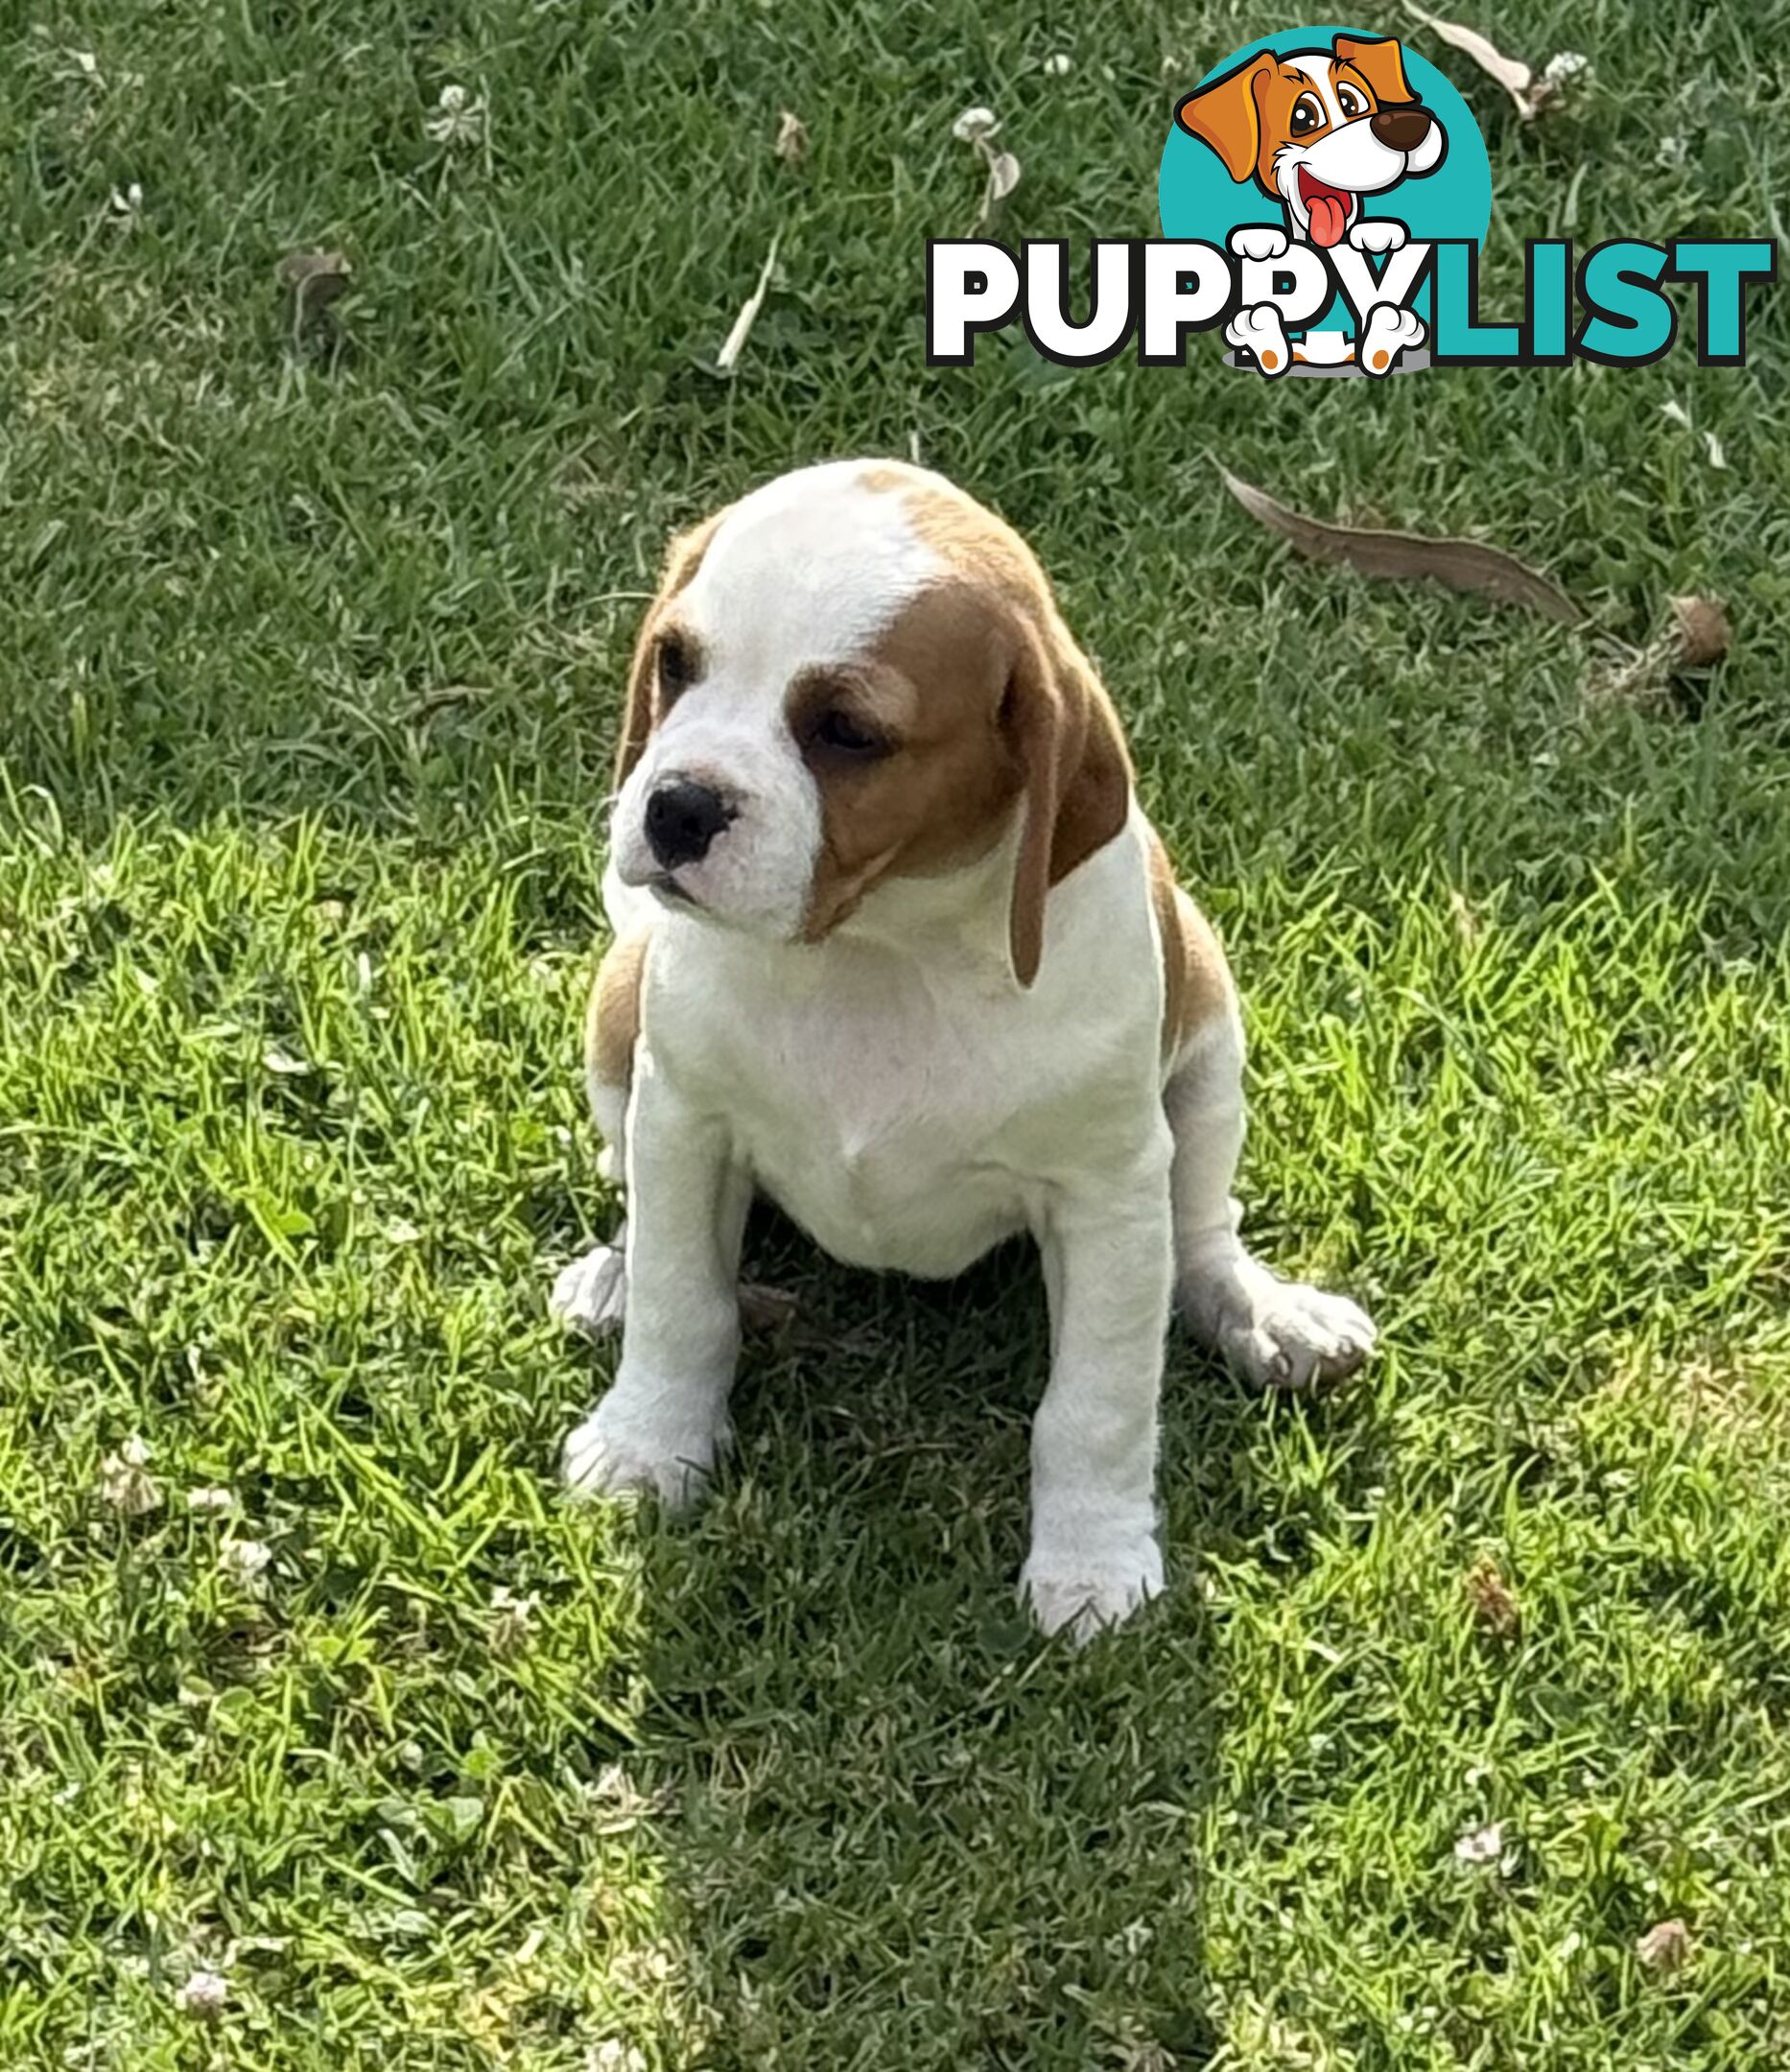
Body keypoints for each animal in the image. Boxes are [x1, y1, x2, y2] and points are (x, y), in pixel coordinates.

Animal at [551, 461, 1376, 1640]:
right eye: (676, 663)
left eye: (847, 731)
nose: (674, 807)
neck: (881, 952)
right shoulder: (684, 1123)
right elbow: (683, 1302)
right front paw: (646, 1443)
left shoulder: (1109, 1197)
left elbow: (1097, 1403)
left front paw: (1091, 1561)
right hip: (619, 1023)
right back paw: (613, 1272)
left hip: (1211, 1035)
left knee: (1201, 1235)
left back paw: (1263, 1311)